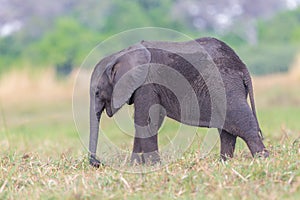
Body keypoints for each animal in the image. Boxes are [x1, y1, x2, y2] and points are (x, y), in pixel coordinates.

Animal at [89, 36, 270, 166]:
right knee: (227, 129)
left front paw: (153, 166)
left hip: (225, 84)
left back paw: (262, 160)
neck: (120, 55)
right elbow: (152, 120)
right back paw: (224, 163)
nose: (97, 163)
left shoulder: (146, 84)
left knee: (242, 123)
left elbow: (145, 120)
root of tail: (242, 66)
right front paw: (136, 166)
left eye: (97, 93)